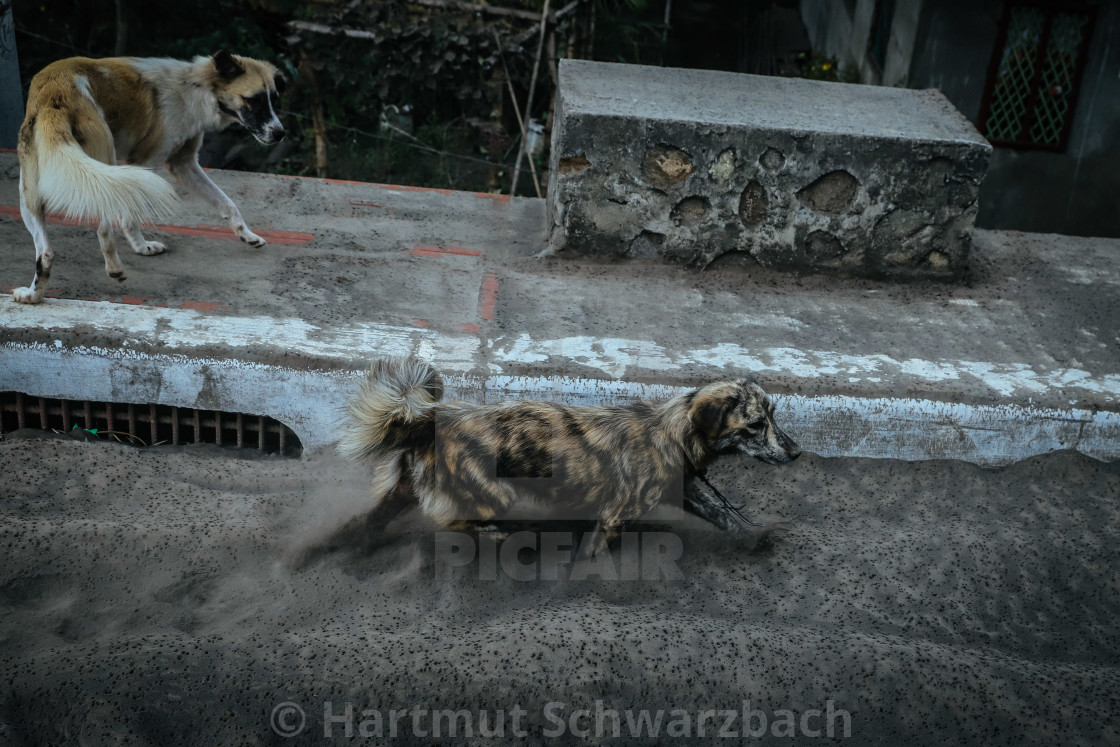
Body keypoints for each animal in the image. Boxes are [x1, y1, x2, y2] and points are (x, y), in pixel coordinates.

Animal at [14, 49, 284, 304]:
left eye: (273, 100)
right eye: (253, 100)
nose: (280, 133)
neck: (193, 88)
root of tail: (53, 96)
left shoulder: (183, 164)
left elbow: (226, 202)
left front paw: (247, 235)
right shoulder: (147, 162)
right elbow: (130, 219)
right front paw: (141, 247)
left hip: (29, 195)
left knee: (46, 252)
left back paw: (32, 296)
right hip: (103, 165)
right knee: (103, 229)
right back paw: (115, 269)